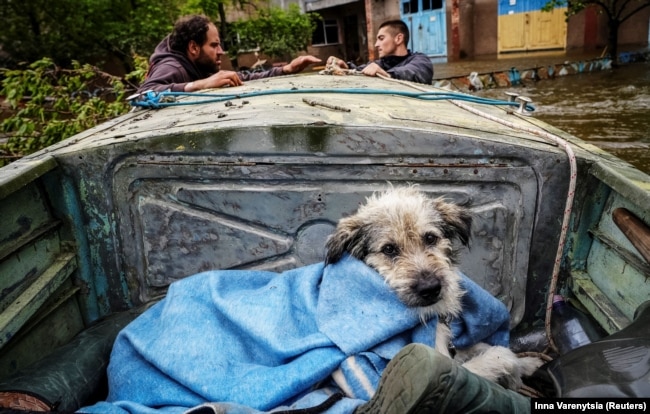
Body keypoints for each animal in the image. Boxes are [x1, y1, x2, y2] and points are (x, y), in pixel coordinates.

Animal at [324, 186, 540, 390]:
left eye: (430, 238)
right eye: (389, 249)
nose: (430, 288)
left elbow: (479, 346)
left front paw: (528, 363)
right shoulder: (440, 369)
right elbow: (500, 355)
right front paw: (514, 373)